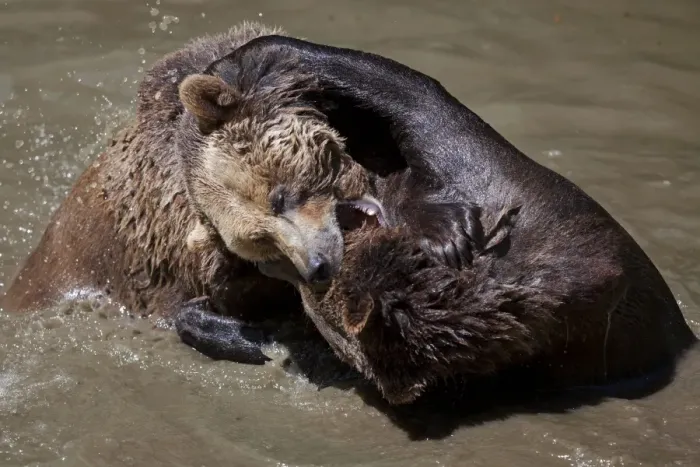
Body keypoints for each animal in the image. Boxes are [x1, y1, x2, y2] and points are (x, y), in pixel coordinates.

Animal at [174, 34, 698, 404]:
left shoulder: (520, 201)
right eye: (264, 251)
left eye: (283, 198)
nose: (315, 267)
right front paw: (237, 329)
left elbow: (419, 104)